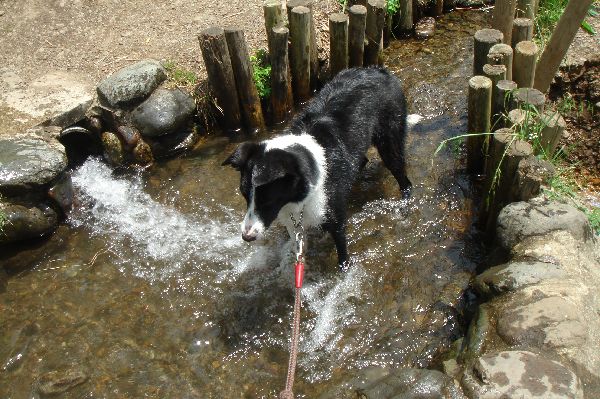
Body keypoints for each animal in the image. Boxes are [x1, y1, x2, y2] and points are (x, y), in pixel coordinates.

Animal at [221, 67, 418, 270]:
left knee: (404, 180)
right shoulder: (294, 224)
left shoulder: (336, 220)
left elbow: (342, 258)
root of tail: (381, 71)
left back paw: (404, 204)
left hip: (390, 145)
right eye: (245, 196)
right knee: (361, 161)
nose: (246, 237)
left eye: (267, 200)